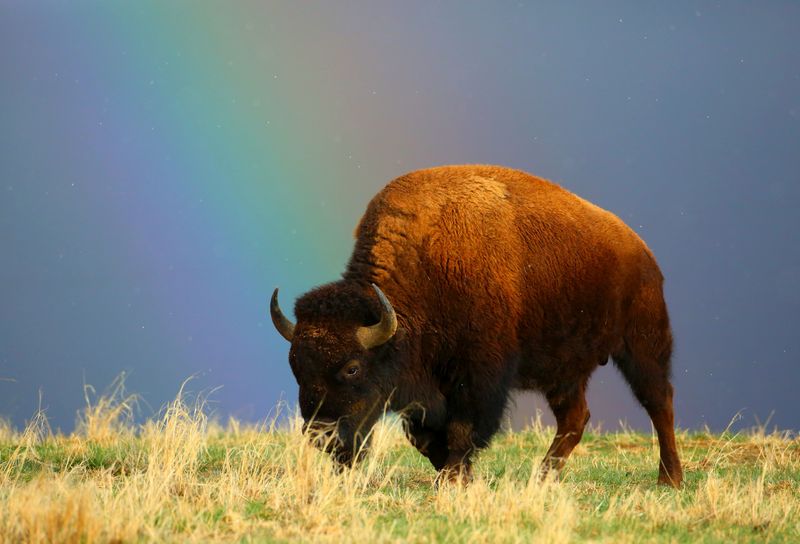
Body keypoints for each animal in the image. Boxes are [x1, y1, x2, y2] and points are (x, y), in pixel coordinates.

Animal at [270, 164, 680, 486]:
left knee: (659, 401)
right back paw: (543, 478)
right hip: (564, 372)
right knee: (575, 418)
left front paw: (454, 477)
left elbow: (463, 429)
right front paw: (455, 474)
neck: (427, 266)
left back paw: (670, 478)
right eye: (295, 366)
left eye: (352, 368)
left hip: (642, 345)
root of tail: (642, 252)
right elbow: (424, 436)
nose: (321, 437)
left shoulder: (479, 376)